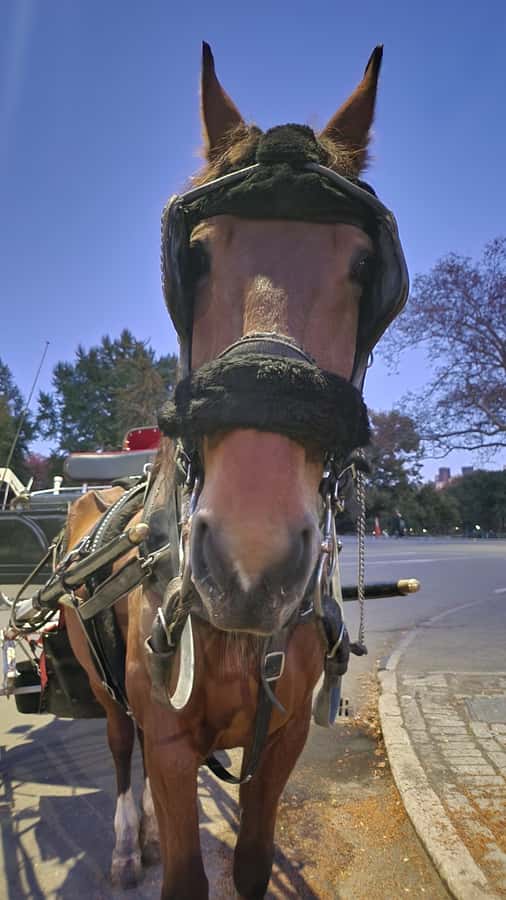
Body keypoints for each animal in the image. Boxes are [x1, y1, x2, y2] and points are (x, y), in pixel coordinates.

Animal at [61, 42, 408, 899]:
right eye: (194, 255)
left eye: (365, 267)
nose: (251, 564)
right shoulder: (170, 737)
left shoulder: (279, 737)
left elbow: (251, 862)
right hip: (108, 691)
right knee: (120, 749)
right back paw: (130, 842)